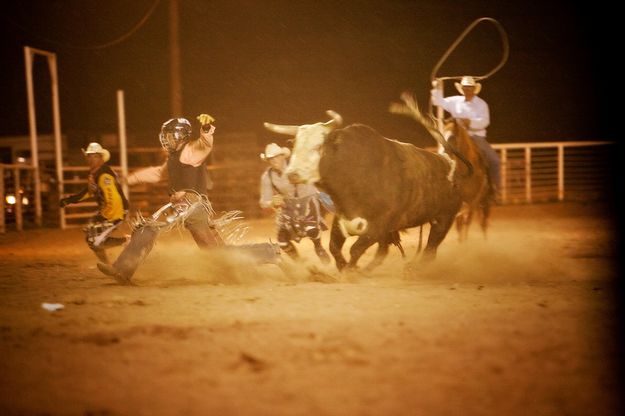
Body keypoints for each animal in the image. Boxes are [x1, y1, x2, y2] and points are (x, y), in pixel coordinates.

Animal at [264, 112, 464, 272]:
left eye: (318, 146)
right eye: (295, 146)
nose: (292, 174)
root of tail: (450, 166)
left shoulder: (377, 227)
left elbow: (356, 249)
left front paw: (350, 270)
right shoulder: (342, 220)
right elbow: (334, 247)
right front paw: (343, 267)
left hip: (443, 219)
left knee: (430, 249)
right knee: (383, 251)